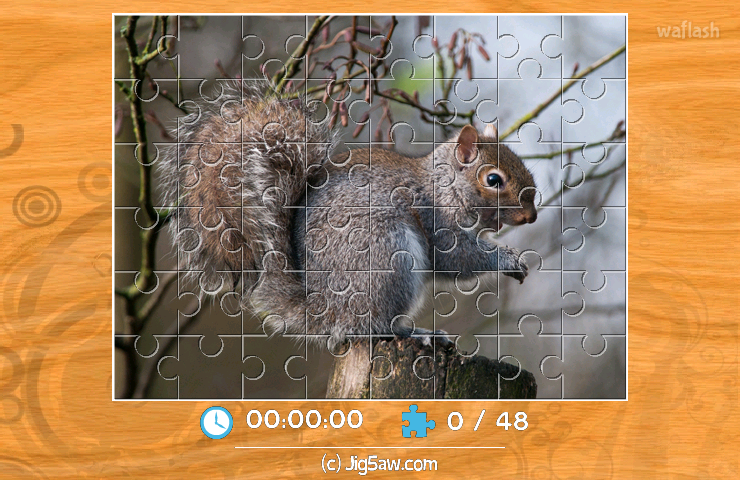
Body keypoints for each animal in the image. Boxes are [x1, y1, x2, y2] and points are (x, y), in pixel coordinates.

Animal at [159, 81, 538, 349]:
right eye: (493, 180)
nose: (531, 217)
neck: (444, 185)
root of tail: (323, 310)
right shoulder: (435, 217)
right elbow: (456, 258)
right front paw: (509, 259)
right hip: (387, 259)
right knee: (372, 328)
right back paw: (415, 333)